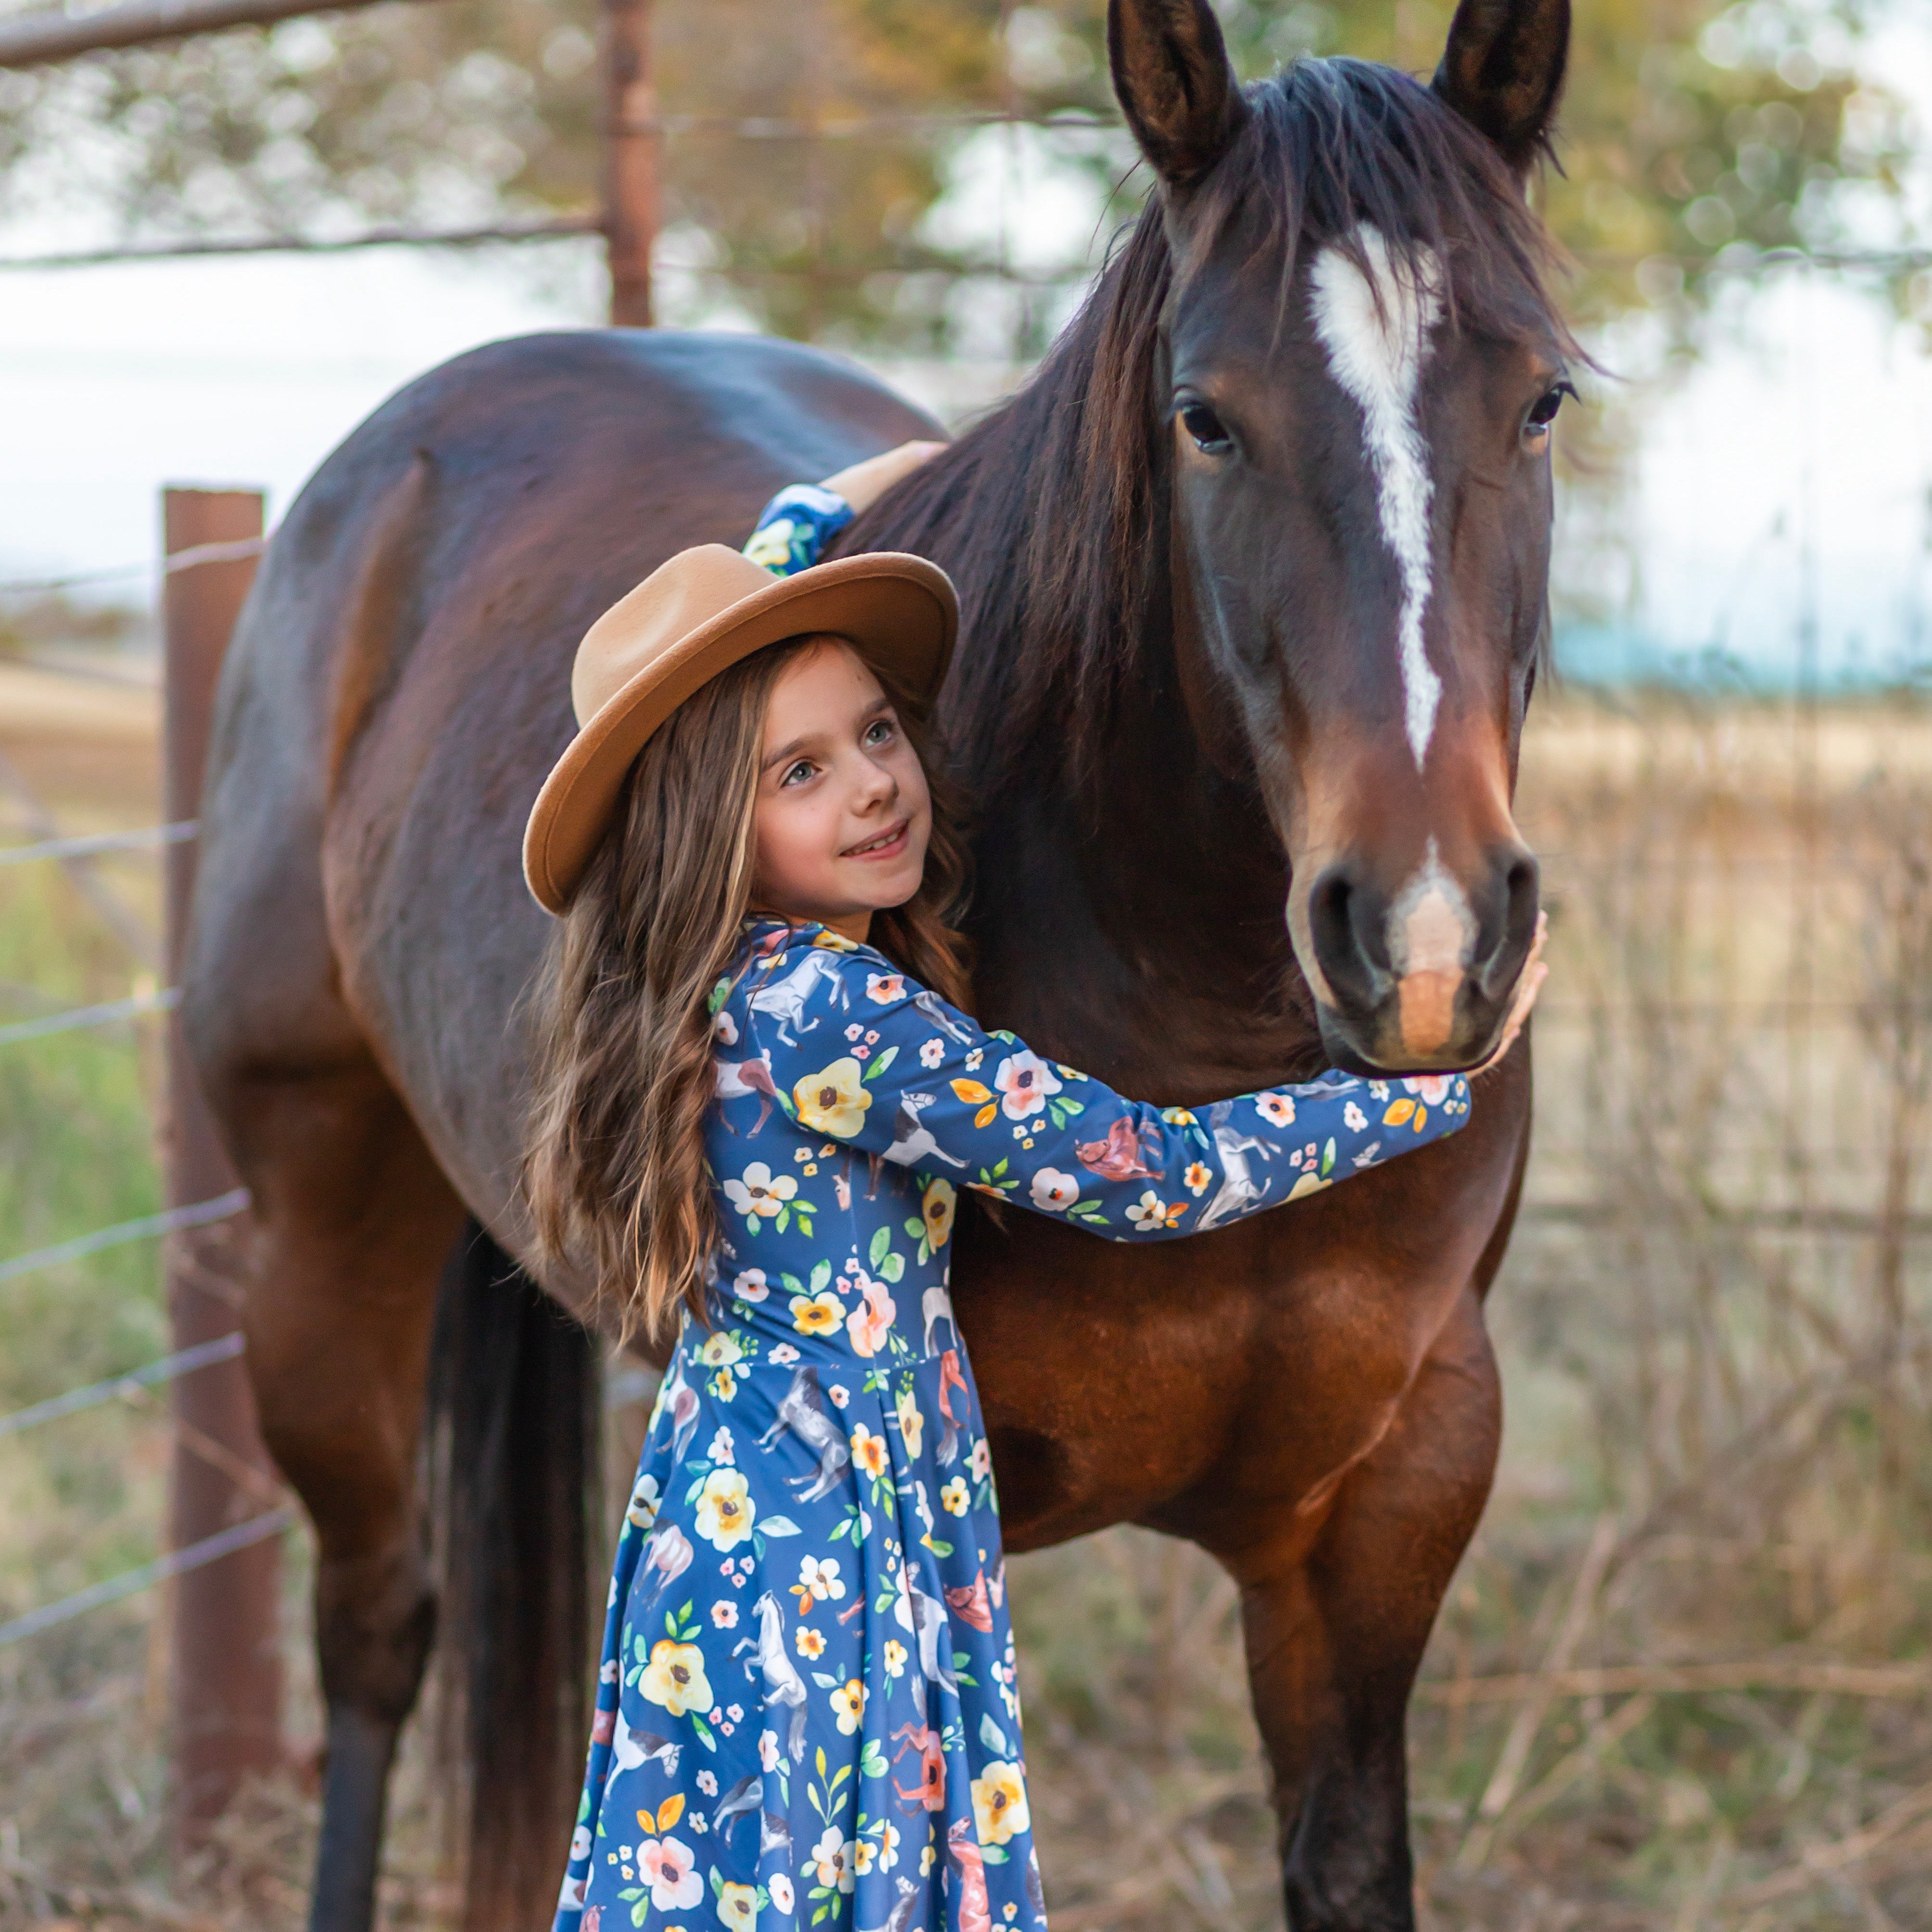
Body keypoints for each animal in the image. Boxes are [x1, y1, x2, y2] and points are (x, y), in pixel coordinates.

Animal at [180, 0, 1572, 1925]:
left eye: (1543, 398)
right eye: (1206, 419)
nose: (1428, 939)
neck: (1194, 999)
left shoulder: (1383, 1506)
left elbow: (1347, 1857)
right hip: (322, 1242)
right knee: (378, 1631)